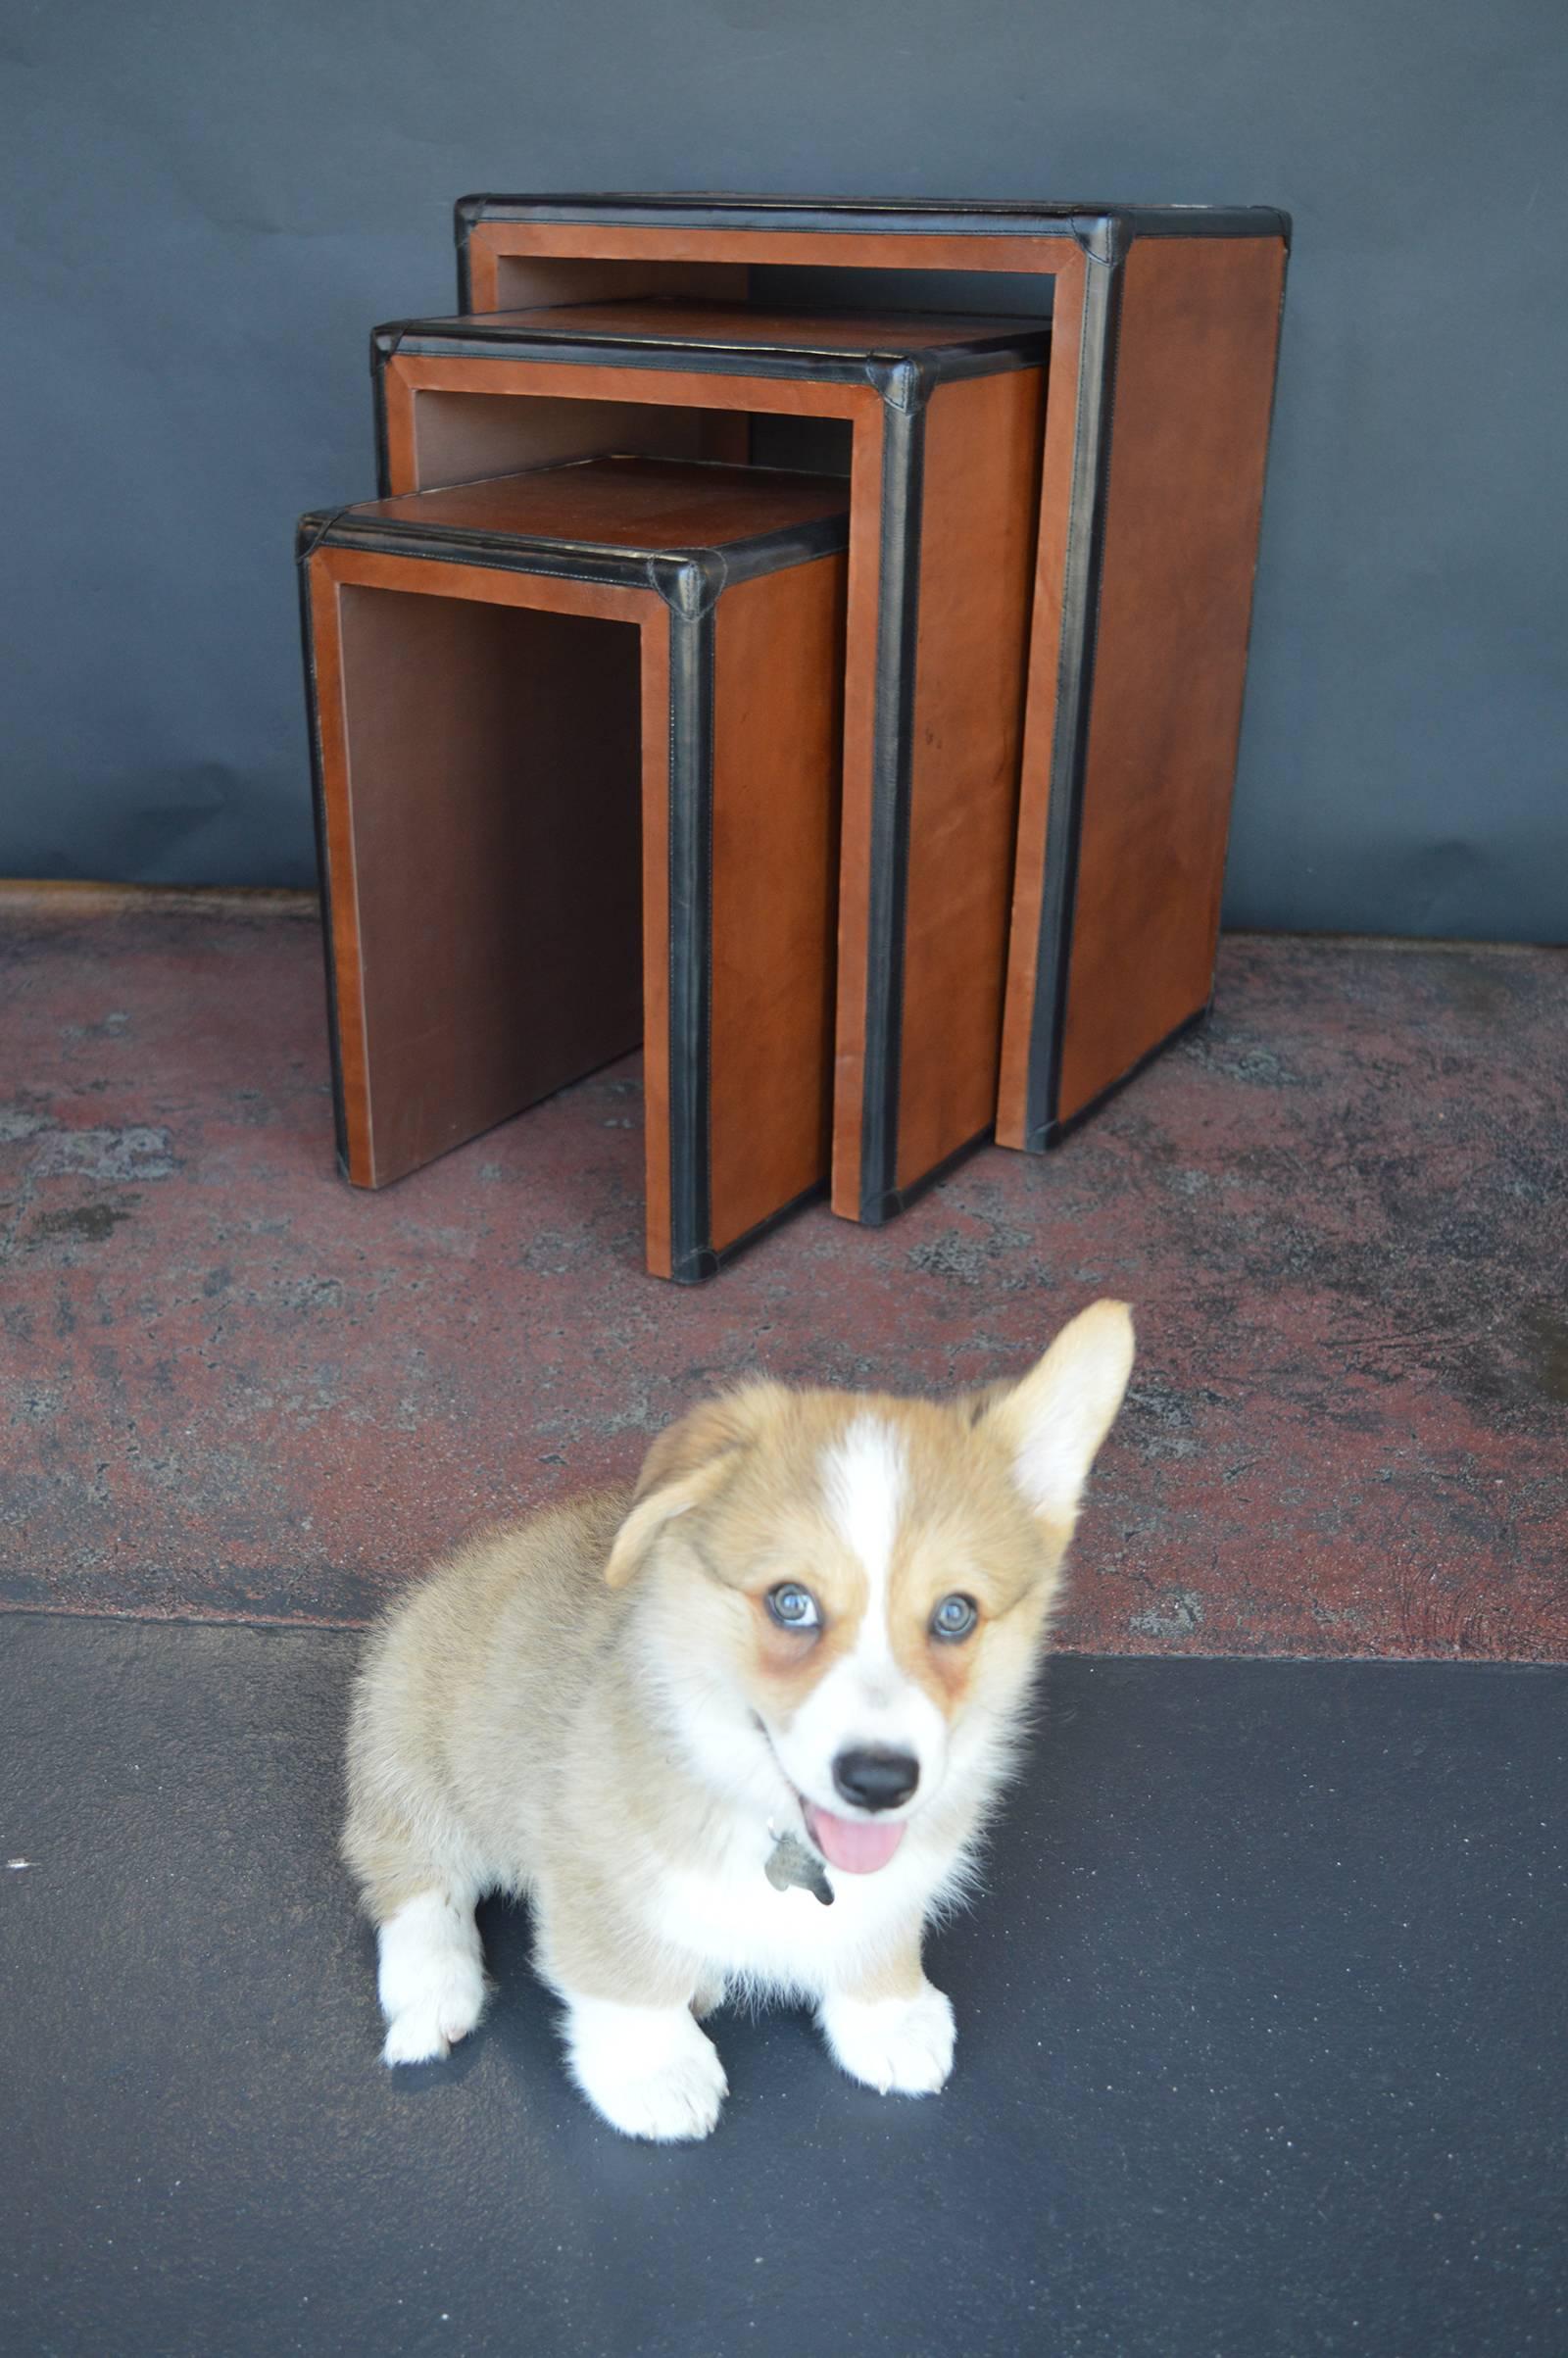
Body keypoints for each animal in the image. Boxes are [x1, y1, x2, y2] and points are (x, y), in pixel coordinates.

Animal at [341, 1302, 1131, 2150]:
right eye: (791, 1602)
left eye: (956, 1615)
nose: (880, 1782)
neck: (767, 1817)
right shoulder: (589, 1857)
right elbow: (624, 1973)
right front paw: (656, 2071)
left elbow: (880, 1929)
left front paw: (888, 2017)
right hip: (411, 1752)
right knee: (415, 1880)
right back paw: (434, 1999)